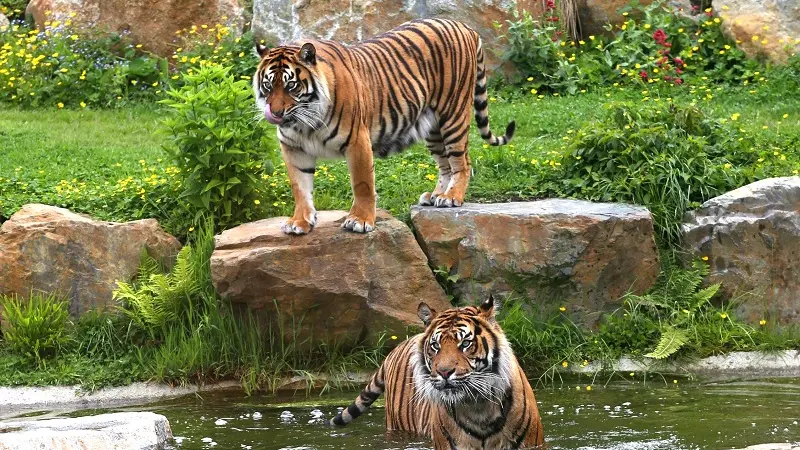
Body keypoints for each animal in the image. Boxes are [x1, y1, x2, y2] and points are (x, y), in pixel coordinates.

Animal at [252, 17, 512, 236]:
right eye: (268, 85)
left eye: (291, 85)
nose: (275, 113)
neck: (304, 123)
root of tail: (464, 26)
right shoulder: (293, 148)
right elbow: (300, 187)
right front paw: (299, 221)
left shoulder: (357, 140)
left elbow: (362, 184)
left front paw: (360, 221)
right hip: (433, 127)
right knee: (445, 163)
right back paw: (437, 195)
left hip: (453, 114)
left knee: (462, 162)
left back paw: (451, 197)